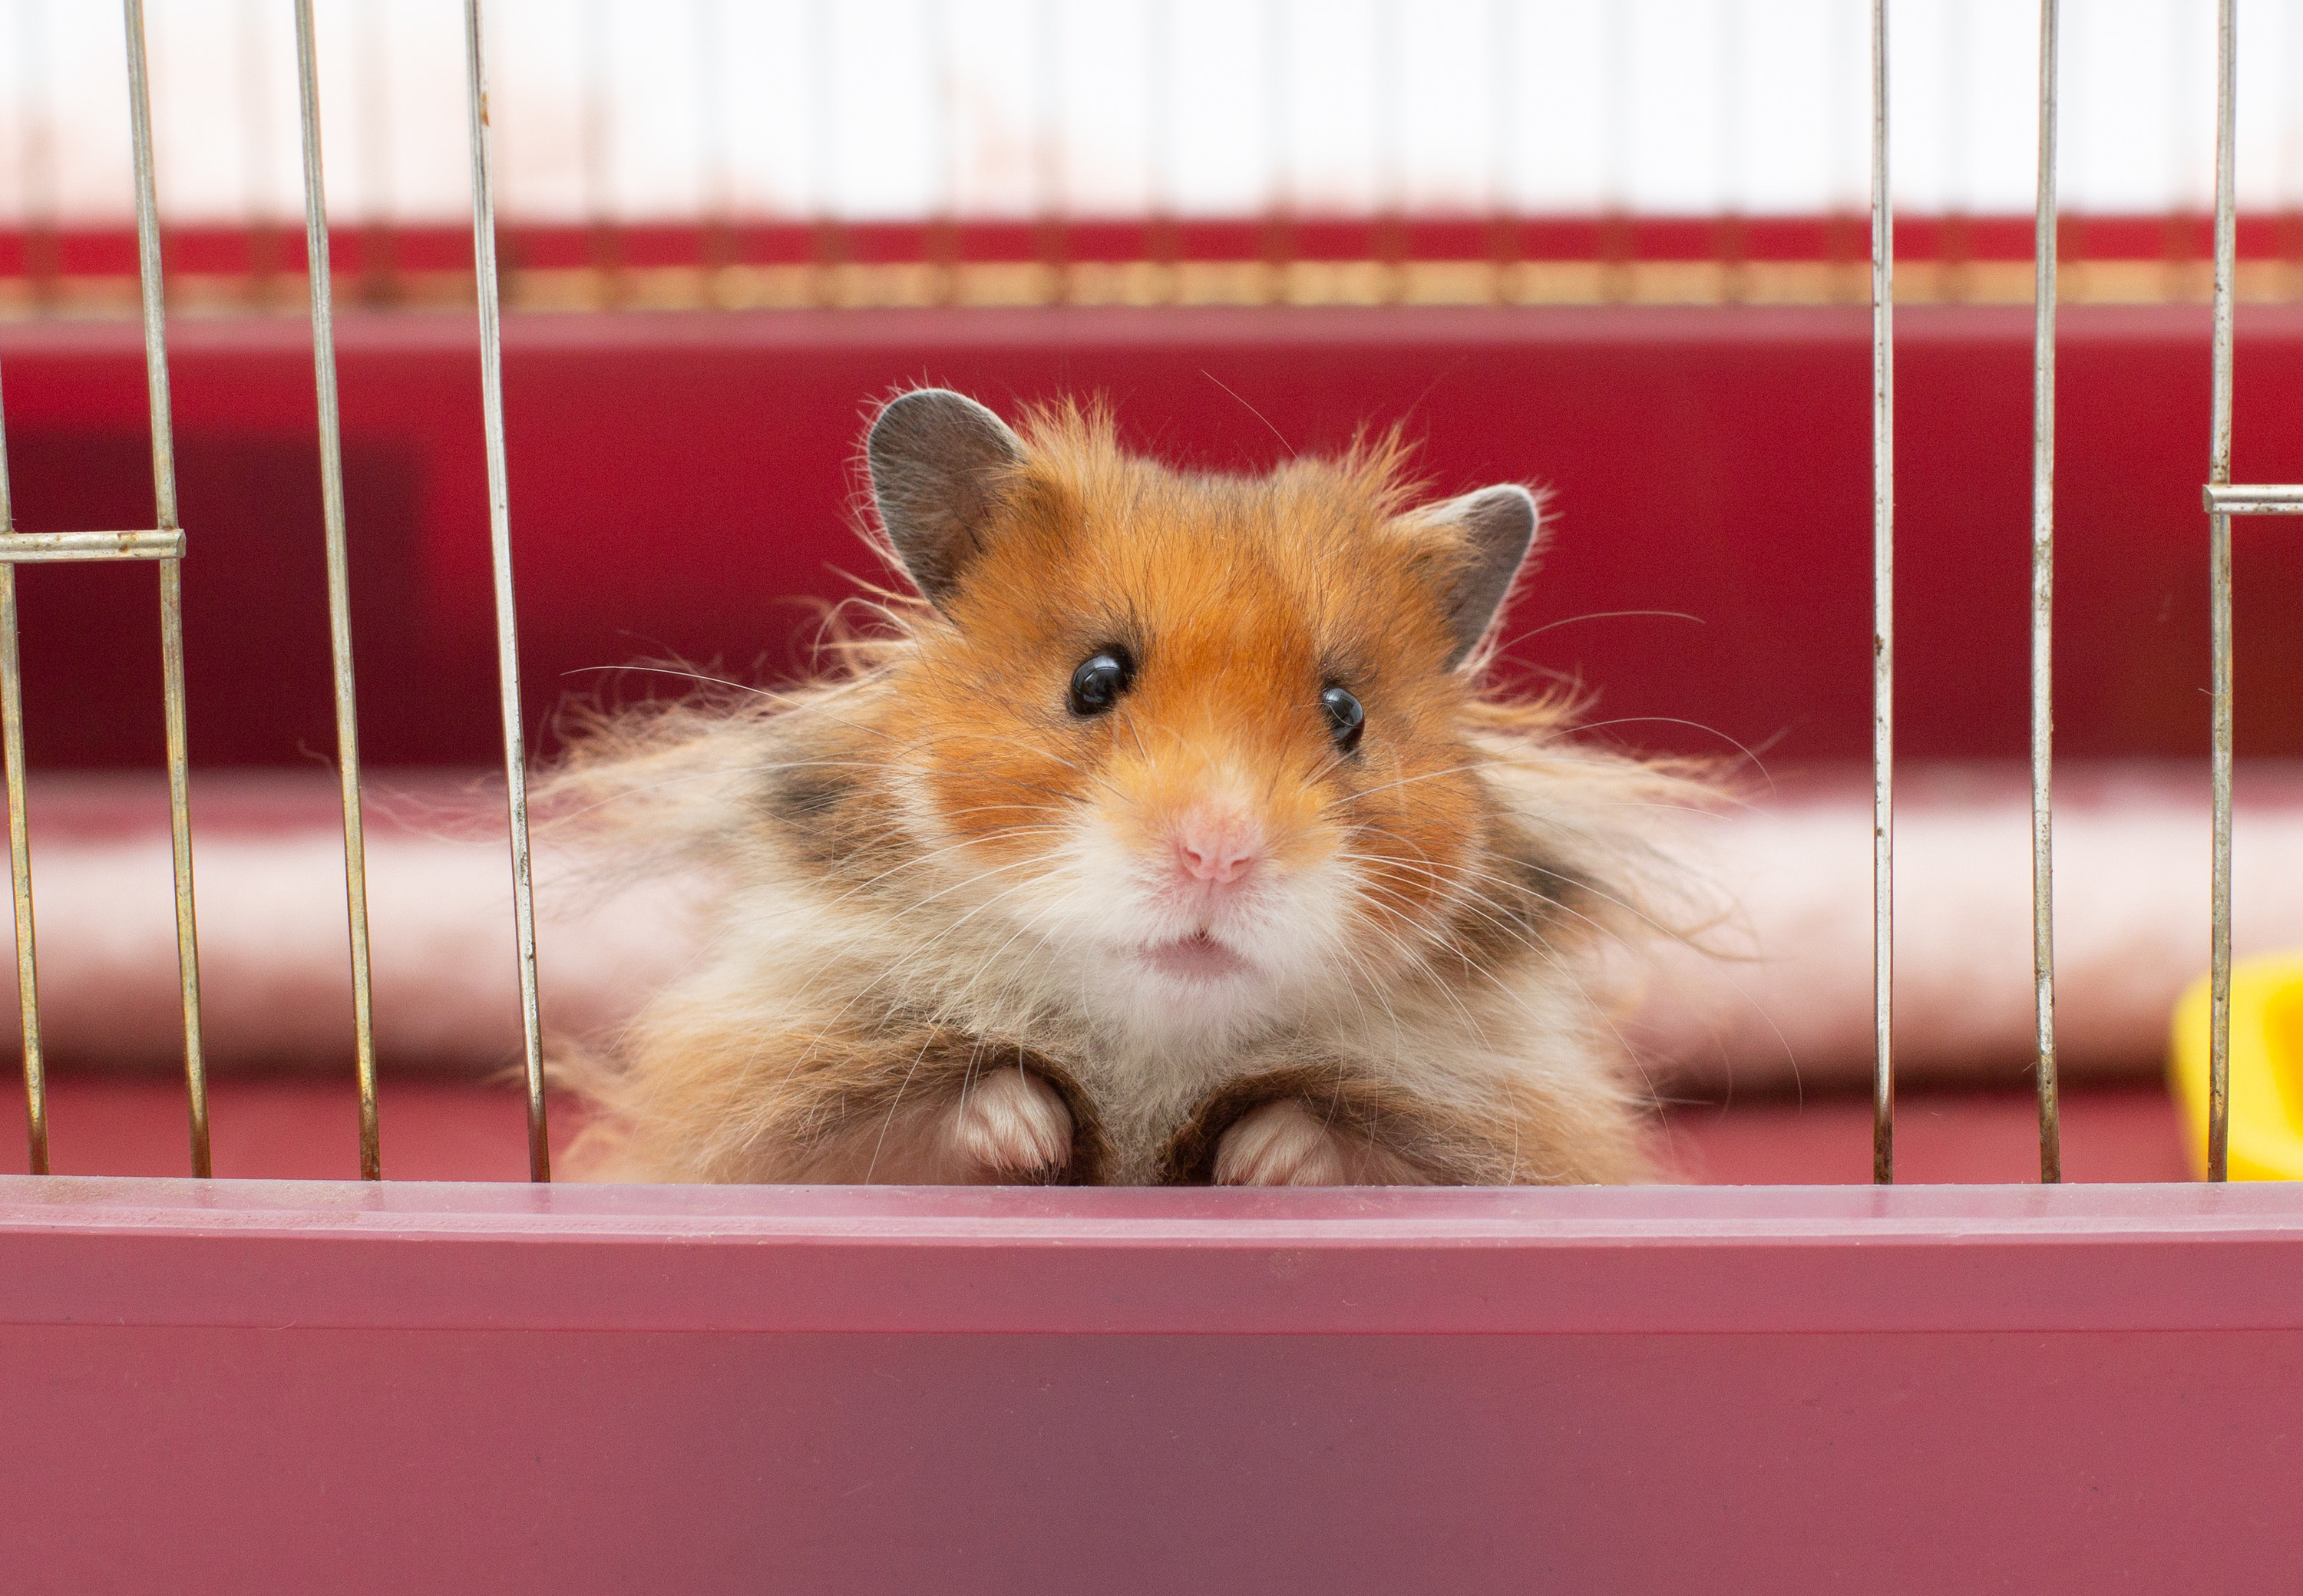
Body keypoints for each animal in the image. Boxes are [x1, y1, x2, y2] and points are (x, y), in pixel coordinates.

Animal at [544, 387, 1695, 1179]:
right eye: (1093, 680)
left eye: (1348, 715)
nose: (1219, 851)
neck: (1153, 1051)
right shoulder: (775, 1100)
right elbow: (941, 1118)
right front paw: (1020, 1128)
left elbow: (1337, 1141)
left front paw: (1266, 1158)